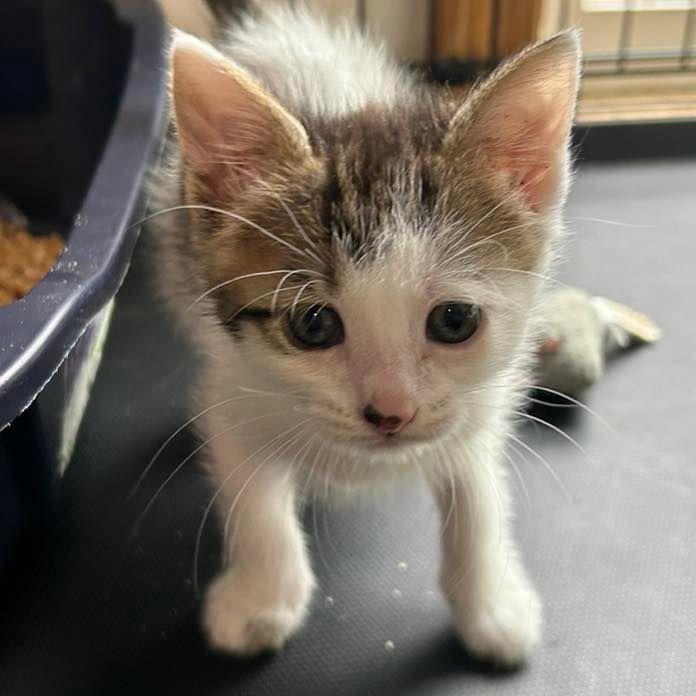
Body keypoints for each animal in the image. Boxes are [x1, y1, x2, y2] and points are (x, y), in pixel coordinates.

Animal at [154, 0, 580, 668]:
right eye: (313, 324)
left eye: (454, 320)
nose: (391, 413)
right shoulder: (235, 389)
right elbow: (253, 498)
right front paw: (259, 600)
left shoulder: (479, 409)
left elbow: (478, 499)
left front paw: (491, 607)